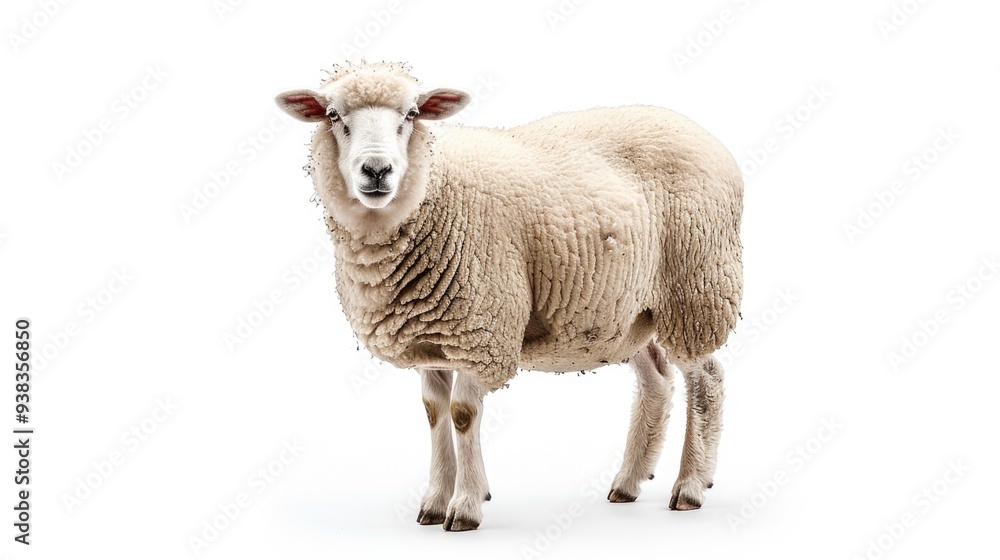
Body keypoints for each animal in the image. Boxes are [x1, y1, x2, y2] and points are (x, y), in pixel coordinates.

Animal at [274, 61, 743, 531]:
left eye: (412, 114)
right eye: (333, 115)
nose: (376, 170)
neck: (434, 190)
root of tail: (700, 132)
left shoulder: (481, 331)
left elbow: (463, 414)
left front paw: (465, 506)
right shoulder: (429, 337)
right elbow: (434, 413)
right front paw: (435, 501)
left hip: (695, 289)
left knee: (706, 380)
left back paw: (690, 487)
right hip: (626, 312)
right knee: (656, 380)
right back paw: (628, 482)